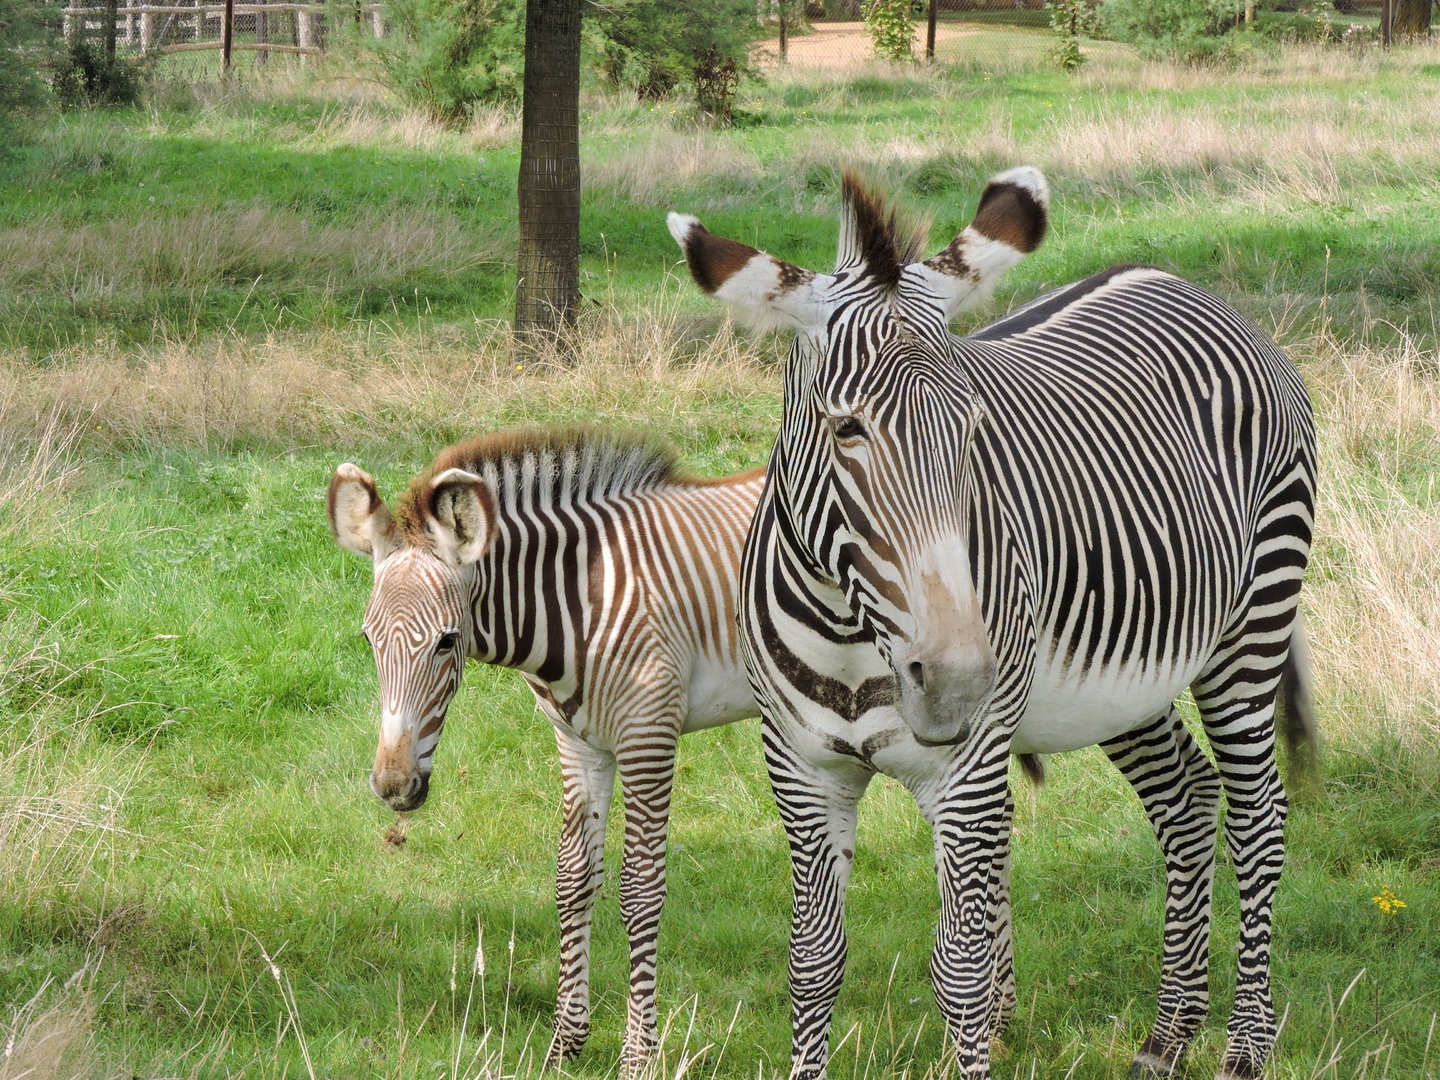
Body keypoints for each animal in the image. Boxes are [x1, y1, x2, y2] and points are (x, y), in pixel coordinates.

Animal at [326, 428, 764, 1075]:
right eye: (368, 639)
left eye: (447, 641)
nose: (393, 787)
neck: (580, 596)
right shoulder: (580, 742)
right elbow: (573, 878)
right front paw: (566, 1044)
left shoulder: (649, 732)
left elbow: (641, 890)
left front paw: (639, 1058)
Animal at [669, 167, 1316, 1080]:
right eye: (846, 429)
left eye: (975, 427)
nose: (959, 680)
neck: (851, 634)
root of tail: (1183, 284)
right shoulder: (800, 769)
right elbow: (814, 959)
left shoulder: (968, 776)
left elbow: (961, 968)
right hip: (1124, 681)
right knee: (1186, 796)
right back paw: (1166, 1038)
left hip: (1251, 626)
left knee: (1259, 815)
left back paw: (1247, 1045)